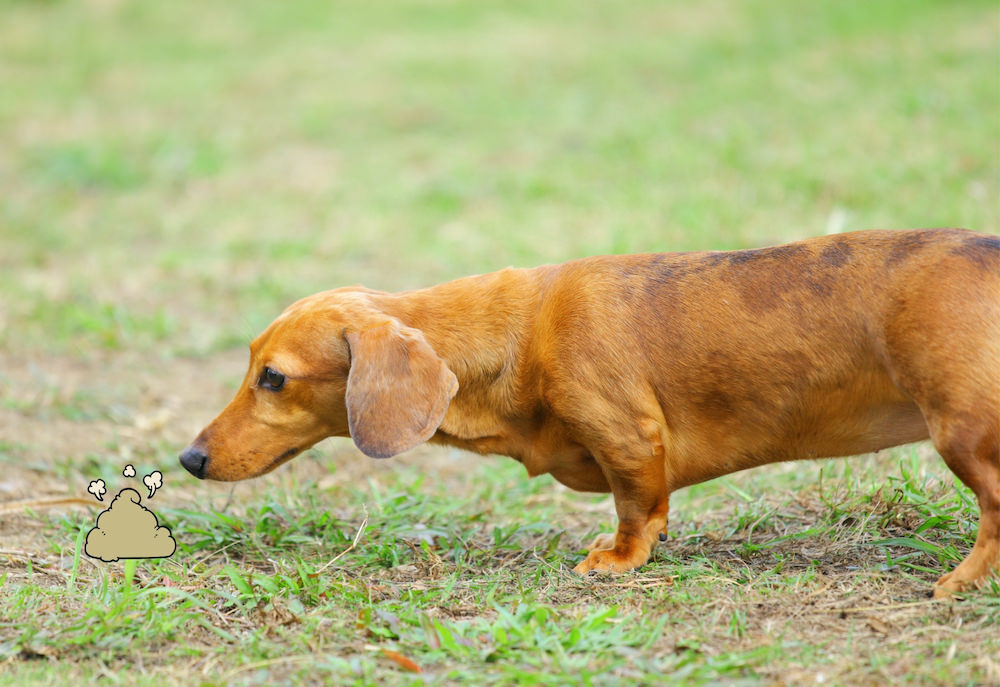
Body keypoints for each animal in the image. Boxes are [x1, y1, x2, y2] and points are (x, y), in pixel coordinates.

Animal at [182, 231, 1000, 596]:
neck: (518, 333)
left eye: (273, 378)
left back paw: (962, 579)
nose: (189, 458)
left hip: (961, 433)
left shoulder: (628, 439)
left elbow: (637, 510)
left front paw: (617, 558)